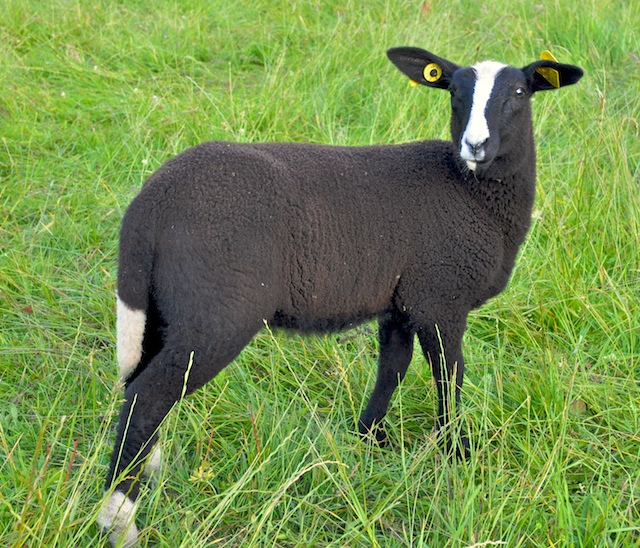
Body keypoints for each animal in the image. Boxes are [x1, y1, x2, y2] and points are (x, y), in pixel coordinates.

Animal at [97, 49, 584, 544]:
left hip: (162, 310)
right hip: (216, 312)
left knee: (139, 384)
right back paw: (119, 520)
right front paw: (457, 453)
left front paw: (369, 439)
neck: (472, 192)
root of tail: (149, 204)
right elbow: (450, 376)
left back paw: (147, 470)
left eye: (519, 93)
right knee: (146, 397)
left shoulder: (401, 302)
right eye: (453, 92)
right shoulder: (439, 297)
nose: (476, 145)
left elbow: (393, 368)